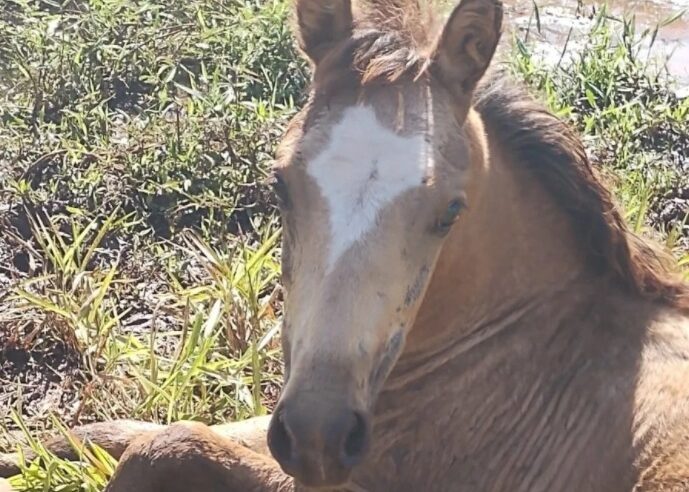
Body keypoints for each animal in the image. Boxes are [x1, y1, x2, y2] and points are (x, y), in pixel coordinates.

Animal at [1, 0, 688, 490]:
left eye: (451, 211)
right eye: (279, 184)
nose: (318, 436)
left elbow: (168, 443)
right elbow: (117, 429)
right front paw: (25, 452)